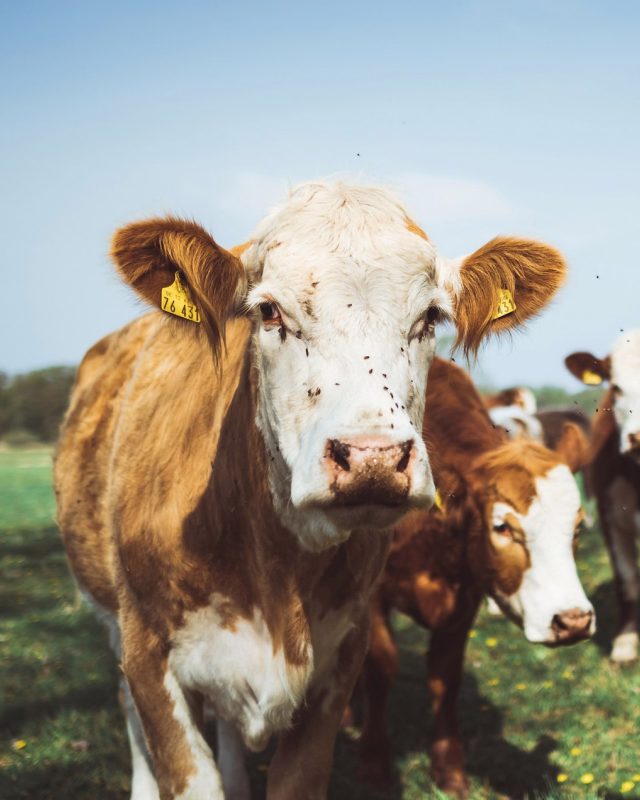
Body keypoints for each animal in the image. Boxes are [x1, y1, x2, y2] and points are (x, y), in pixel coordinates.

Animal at [53, 181, 567, 800]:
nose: (373, 459)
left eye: (431, 317)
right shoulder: (148, 658)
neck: (272, 575)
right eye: (269, 311)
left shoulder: (340, 662)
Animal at [354, 357, 593, 798]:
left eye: (578, 527)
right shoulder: (370, 594)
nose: (573, 621)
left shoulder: (464, 597)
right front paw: (374, 764)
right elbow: (381, 668)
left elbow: (445, 679)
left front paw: (449, 770)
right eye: (502, 527)